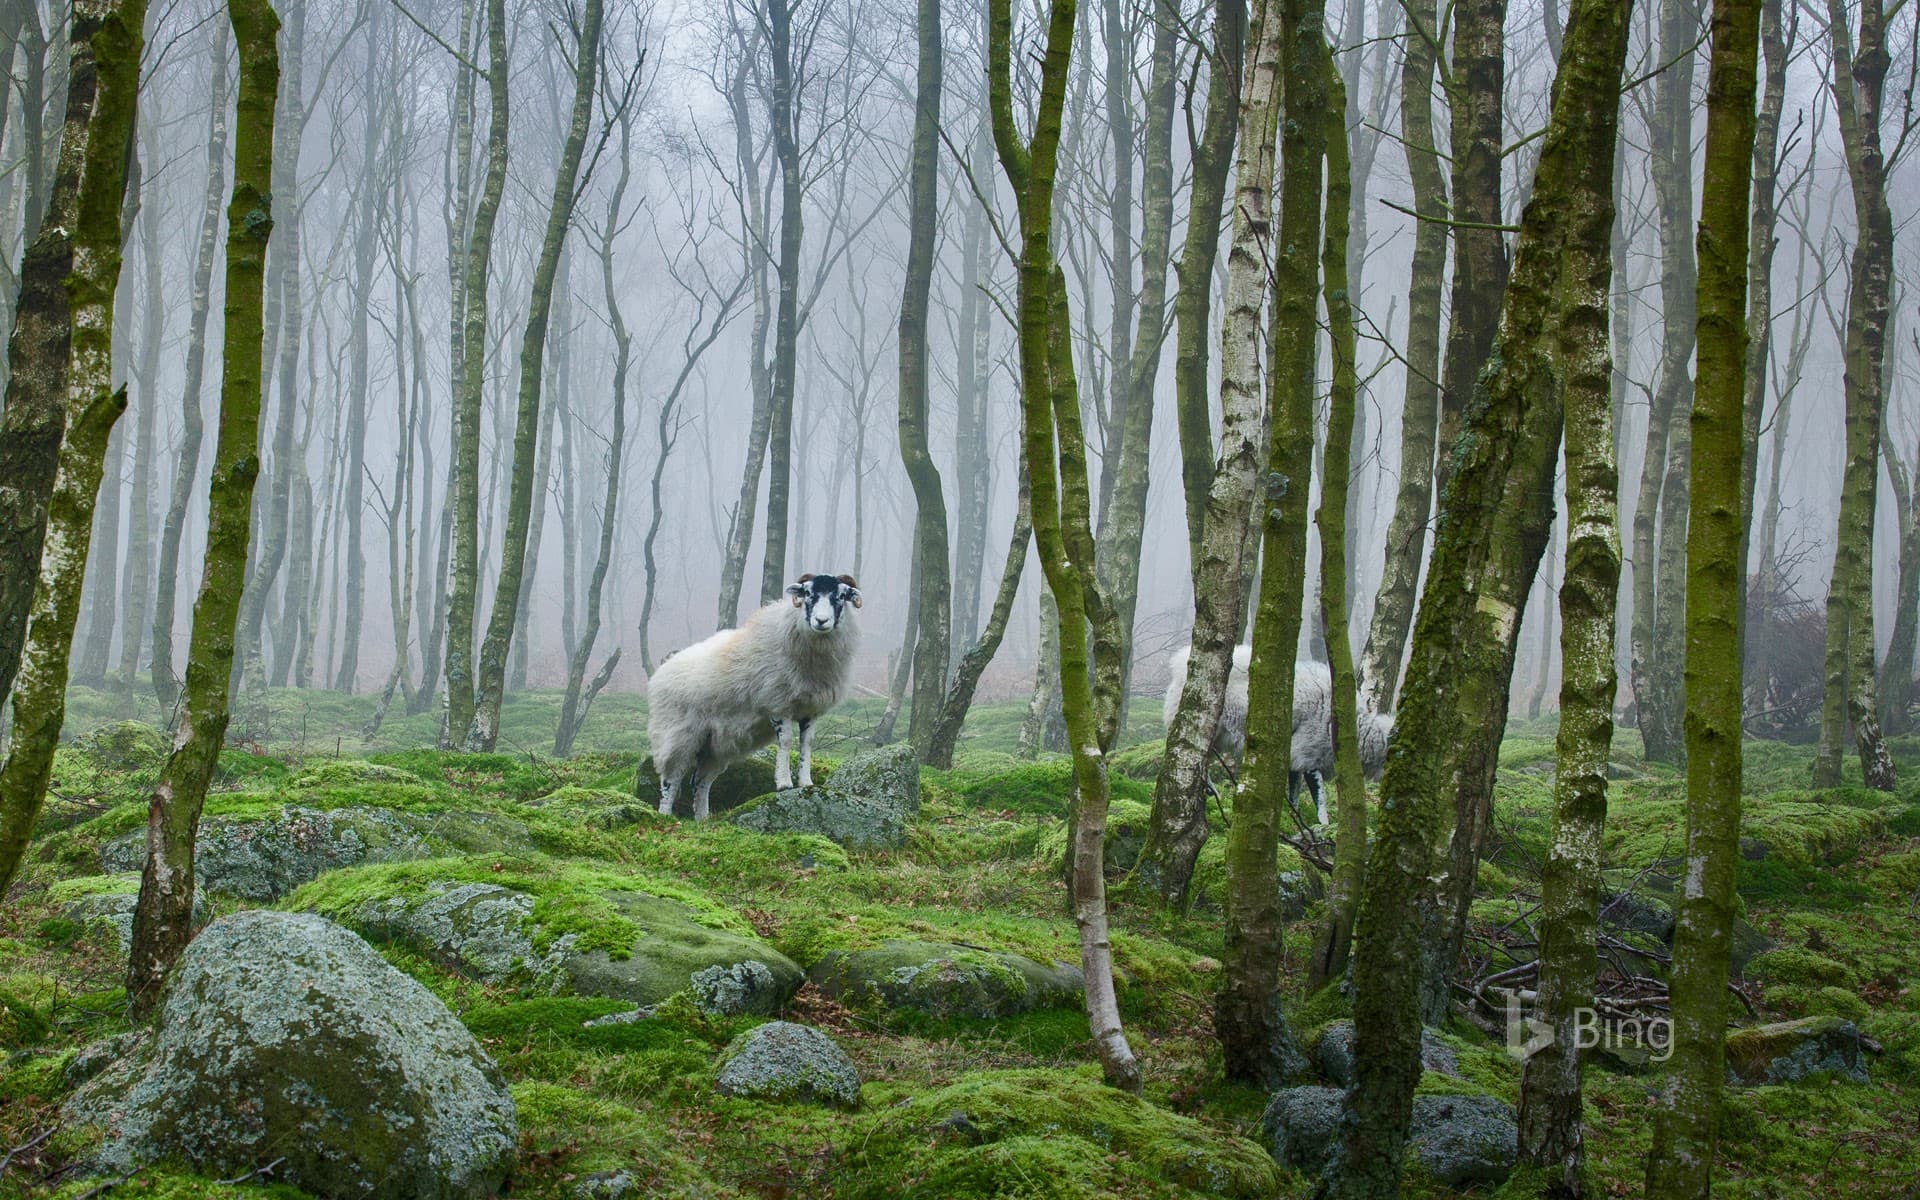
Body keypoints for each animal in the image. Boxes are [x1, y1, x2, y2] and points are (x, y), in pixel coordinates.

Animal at [646, 573, 862, 820]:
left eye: (841, 596)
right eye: (808, 593)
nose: (822, 621)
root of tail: (660, 672)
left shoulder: (809, 710)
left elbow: (807, 744)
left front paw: (806, 783)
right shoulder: (778, 703)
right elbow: (786, 741)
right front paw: (784, 783)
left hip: (714, 744)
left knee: (699, 781)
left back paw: (702, 820)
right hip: (676, 733)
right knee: (670, 780)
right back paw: (664, 815)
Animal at [1161, 644, 1393, 824]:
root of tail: (1179, 662)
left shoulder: (1295, 755)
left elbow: (1294, 790)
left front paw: (1296, 819)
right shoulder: (1309, 752)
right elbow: (1318, 797)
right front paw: (1322, 827)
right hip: (1201, 722)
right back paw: (1209, 790)